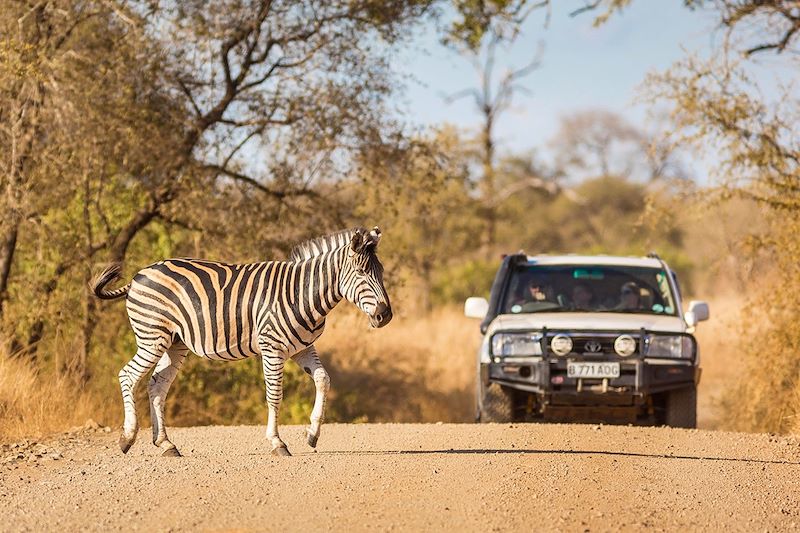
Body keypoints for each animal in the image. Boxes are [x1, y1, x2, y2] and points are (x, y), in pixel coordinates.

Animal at [92, 227, 392, 456]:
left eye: (381, 272)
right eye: (362, 273)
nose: (385, 315)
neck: (303, 294)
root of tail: (139, 275)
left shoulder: (303, 348)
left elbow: (323, 380)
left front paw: (312, 434)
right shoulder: (272, 347)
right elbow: (275, 394)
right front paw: (277, 443)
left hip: (174, 343)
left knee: (156, 386)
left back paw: (166, 444)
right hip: (152, 335)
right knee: (128, 375)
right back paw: (127, 438)